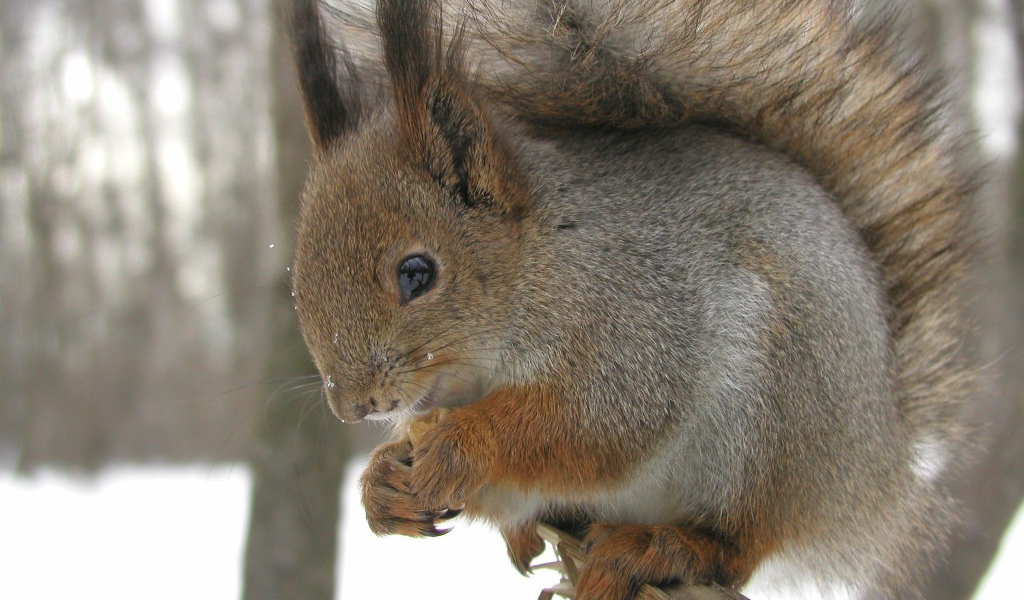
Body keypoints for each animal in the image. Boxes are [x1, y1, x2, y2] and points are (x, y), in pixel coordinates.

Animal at [284, 0, 977, 597]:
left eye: (416, 273)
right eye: (298, 277)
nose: (352, 405)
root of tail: (879, 458)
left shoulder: (638, 322)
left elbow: (597, 424)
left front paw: (461, 445)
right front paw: (380, 481)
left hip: (777, 416)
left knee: (744, 541)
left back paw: (661, 549)